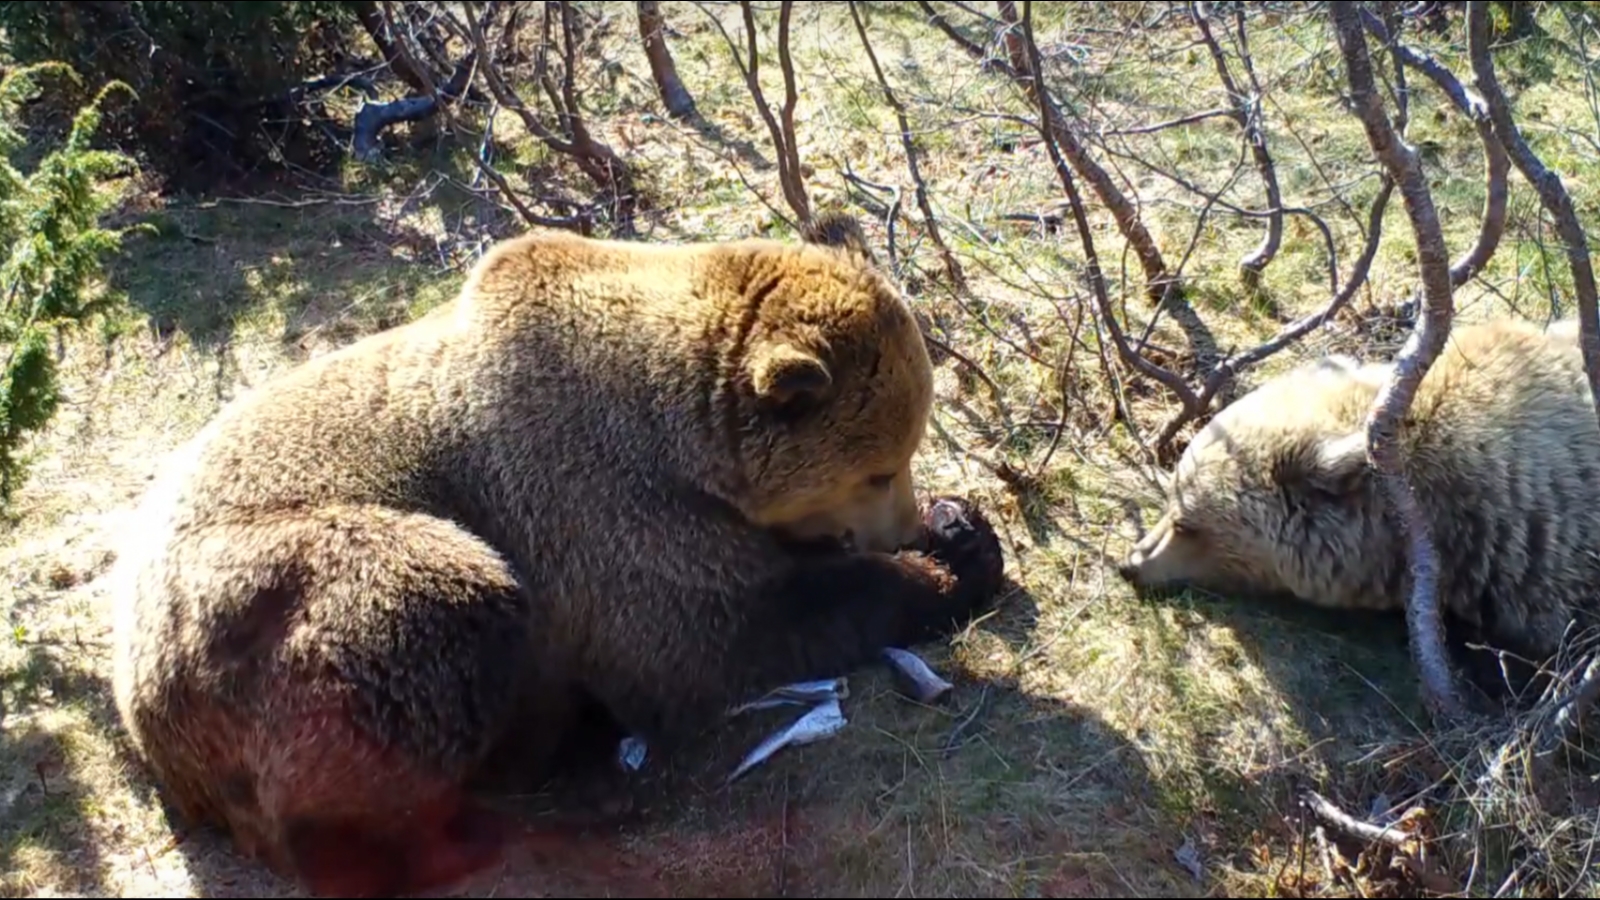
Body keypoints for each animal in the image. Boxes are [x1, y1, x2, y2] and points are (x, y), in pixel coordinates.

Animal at [109, 212, 998, 890]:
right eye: (877, 467)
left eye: (906, 449)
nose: (900, 525)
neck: (676, 439)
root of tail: (143, 717)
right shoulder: (593, 509)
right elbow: (719, 633)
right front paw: (944, 574)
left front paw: (961, 527)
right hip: (278, 607)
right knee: (433, 613)